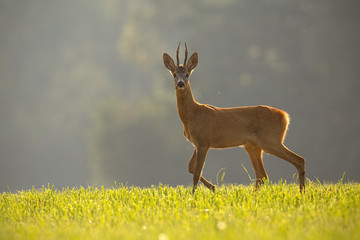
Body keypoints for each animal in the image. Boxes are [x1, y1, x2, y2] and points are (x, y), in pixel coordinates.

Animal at [165, 43, 306, 193]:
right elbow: (190, 167)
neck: (192, 115)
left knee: (299, 160)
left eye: (187, 74)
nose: (180, 83)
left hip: (270, 140)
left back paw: (302, 192)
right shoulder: (197, 143)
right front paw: (213, 187)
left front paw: (194, 194)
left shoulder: (204, 141)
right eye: (174, 74)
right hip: (252, 146)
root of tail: (285, 115)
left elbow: (197, 172)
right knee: (262, 175)